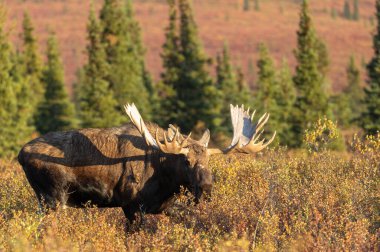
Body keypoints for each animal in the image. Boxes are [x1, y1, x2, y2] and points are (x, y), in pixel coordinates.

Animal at [17, 104, 274, 222]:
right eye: (186, 160)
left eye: (209, 161)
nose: (207, 188)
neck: (165, 182)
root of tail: (21, 154)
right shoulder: (131, 205)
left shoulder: (163, 207)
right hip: (54, 198)